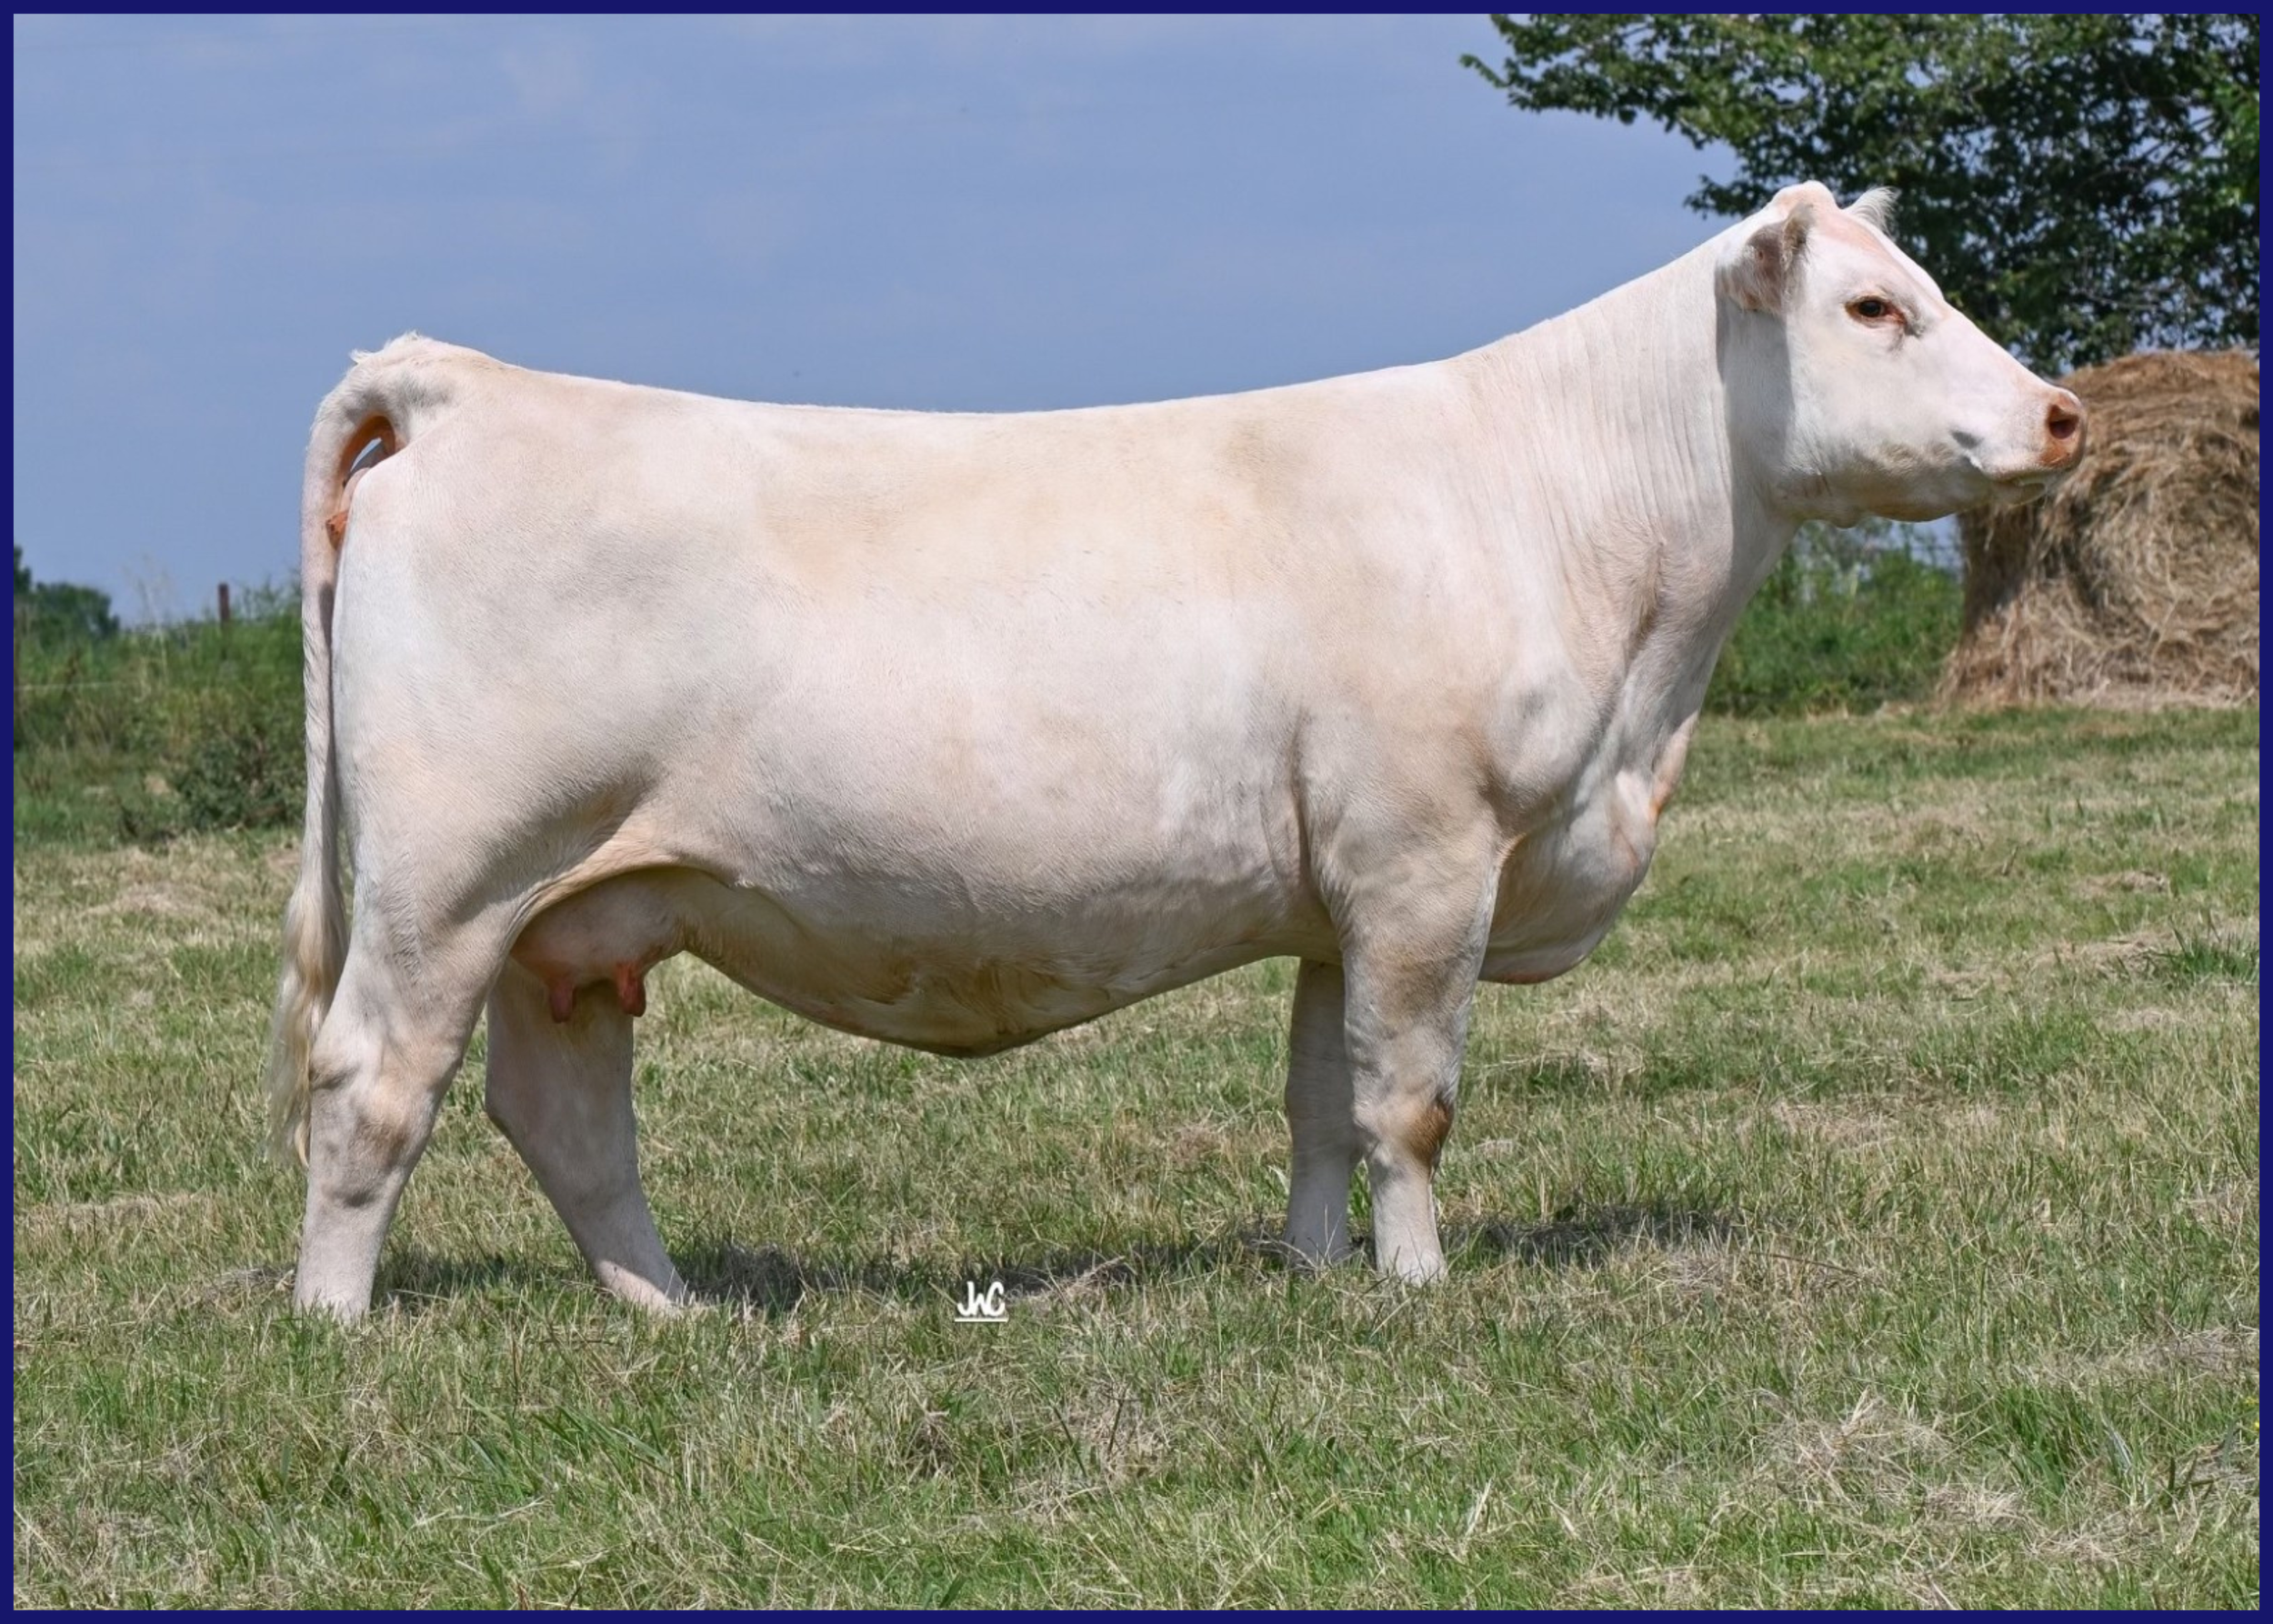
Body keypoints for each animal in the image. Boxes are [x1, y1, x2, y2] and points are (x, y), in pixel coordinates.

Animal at [268, 182, 2082, 1318]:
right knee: (371, 1087)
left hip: (572, 911)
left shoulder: (1342, 893)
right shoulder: (1429, 856)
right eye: (1875, 306)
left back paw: (675, 1312)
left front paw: (1321, 1277)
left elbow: (1322, 1101)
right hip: (450, 877)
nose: (2065, 412)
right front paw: (1425, 1287)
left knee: (564, 1115)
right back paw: (335, 1325)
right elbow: (1413, 1102)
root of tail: (467, 383)